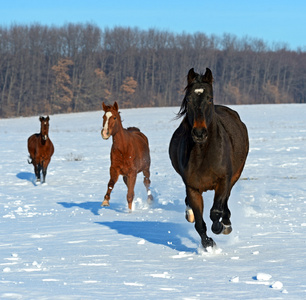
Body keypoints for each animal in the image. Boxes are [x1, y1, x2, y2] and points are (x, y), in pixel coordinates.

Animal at [169, 68, 250, 248]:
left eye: (210, 98)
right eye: (188, 99)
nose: (199, 133)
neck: (202, 154)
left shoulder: (223, 180)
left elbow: (215, 212)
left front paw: (220, 227)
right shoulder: (192, 187)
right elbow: (199, 223)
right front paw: (208, 244)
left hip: (234, 176)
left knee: (225, 201)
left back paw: (226, 223)